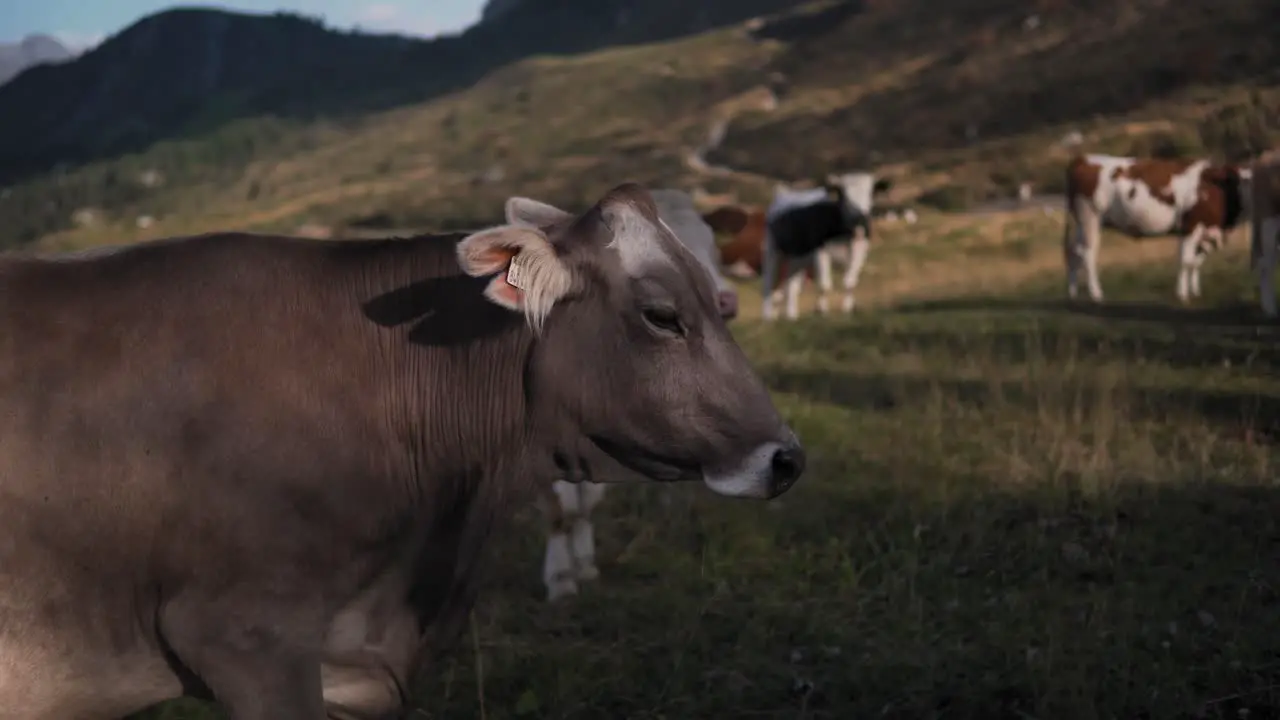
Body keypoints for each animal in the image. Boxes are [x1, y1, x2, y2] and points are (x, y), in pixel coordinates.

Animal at [757, 170, 890, 319]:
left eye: (871, 192)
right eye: (843, 194)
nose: (860, 217)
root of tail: (783, 193)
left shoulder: (860, 250)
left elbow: (849, 282)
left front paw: (847, 309)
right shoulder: (820, 251)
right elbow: (824, 285)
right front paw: (822, 311)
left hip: (798, 258)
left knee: (791, 286)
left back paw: (792, 316)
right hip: (772, 250)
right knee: (768, 284)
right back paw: (768, 317)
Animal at [1059, 152, 1249, 301]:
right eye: (1242, 180)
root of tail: (1084, 158)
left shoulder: (1205, 232)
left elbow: (1196, 262)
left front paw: (1195, 291)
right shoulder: (1190, 227)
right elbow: (1186, 261)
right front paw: (1182, 294)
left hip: (1081, 223)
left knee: (1074, 251)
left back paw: (1072, 292)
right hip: (1090, 217)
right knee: (1088, 253)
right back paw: (1096, 293)